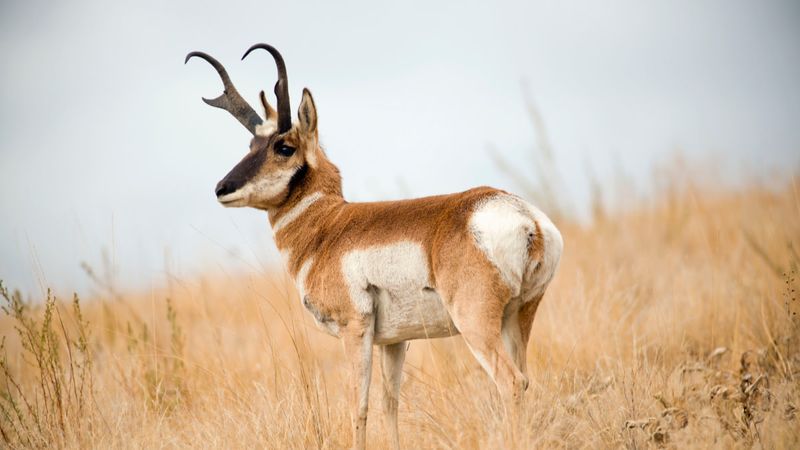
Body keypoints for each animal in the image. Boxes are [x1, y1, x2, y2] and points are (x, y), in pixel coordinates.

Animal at [188, 43, 564, 450]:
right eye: (251, 144)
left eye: (283, 146)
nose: (222, 188)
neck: (328, 226)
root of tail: (525, 217)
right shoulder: (395, 341)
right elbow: (390, 402)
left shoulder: (355, 330)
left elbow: (360, 406)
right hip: (519, 317)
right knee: (524, 380)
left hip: (476, 323)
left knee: (510, 382)